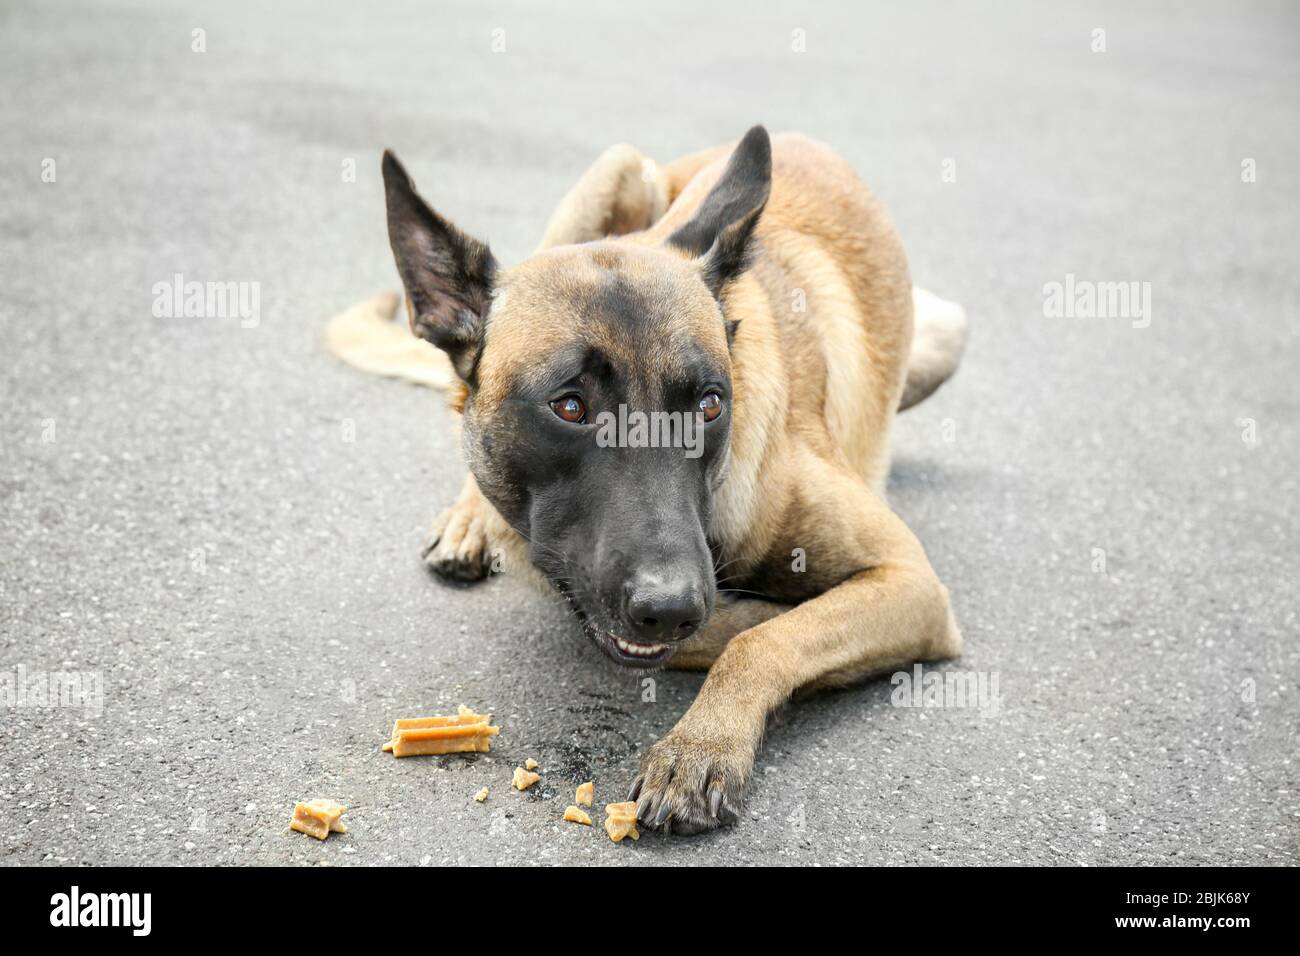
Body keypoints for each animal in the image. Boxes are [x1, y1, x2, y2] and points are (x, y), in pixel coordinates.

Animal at [330, 128, 972, 837]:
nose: (670, 608)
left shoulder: (911, 584)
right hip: (610, 174)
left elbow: (759, 638)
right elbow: (733, 626)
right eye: (570, 406)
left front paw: (701, 744)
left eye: (709, 406)